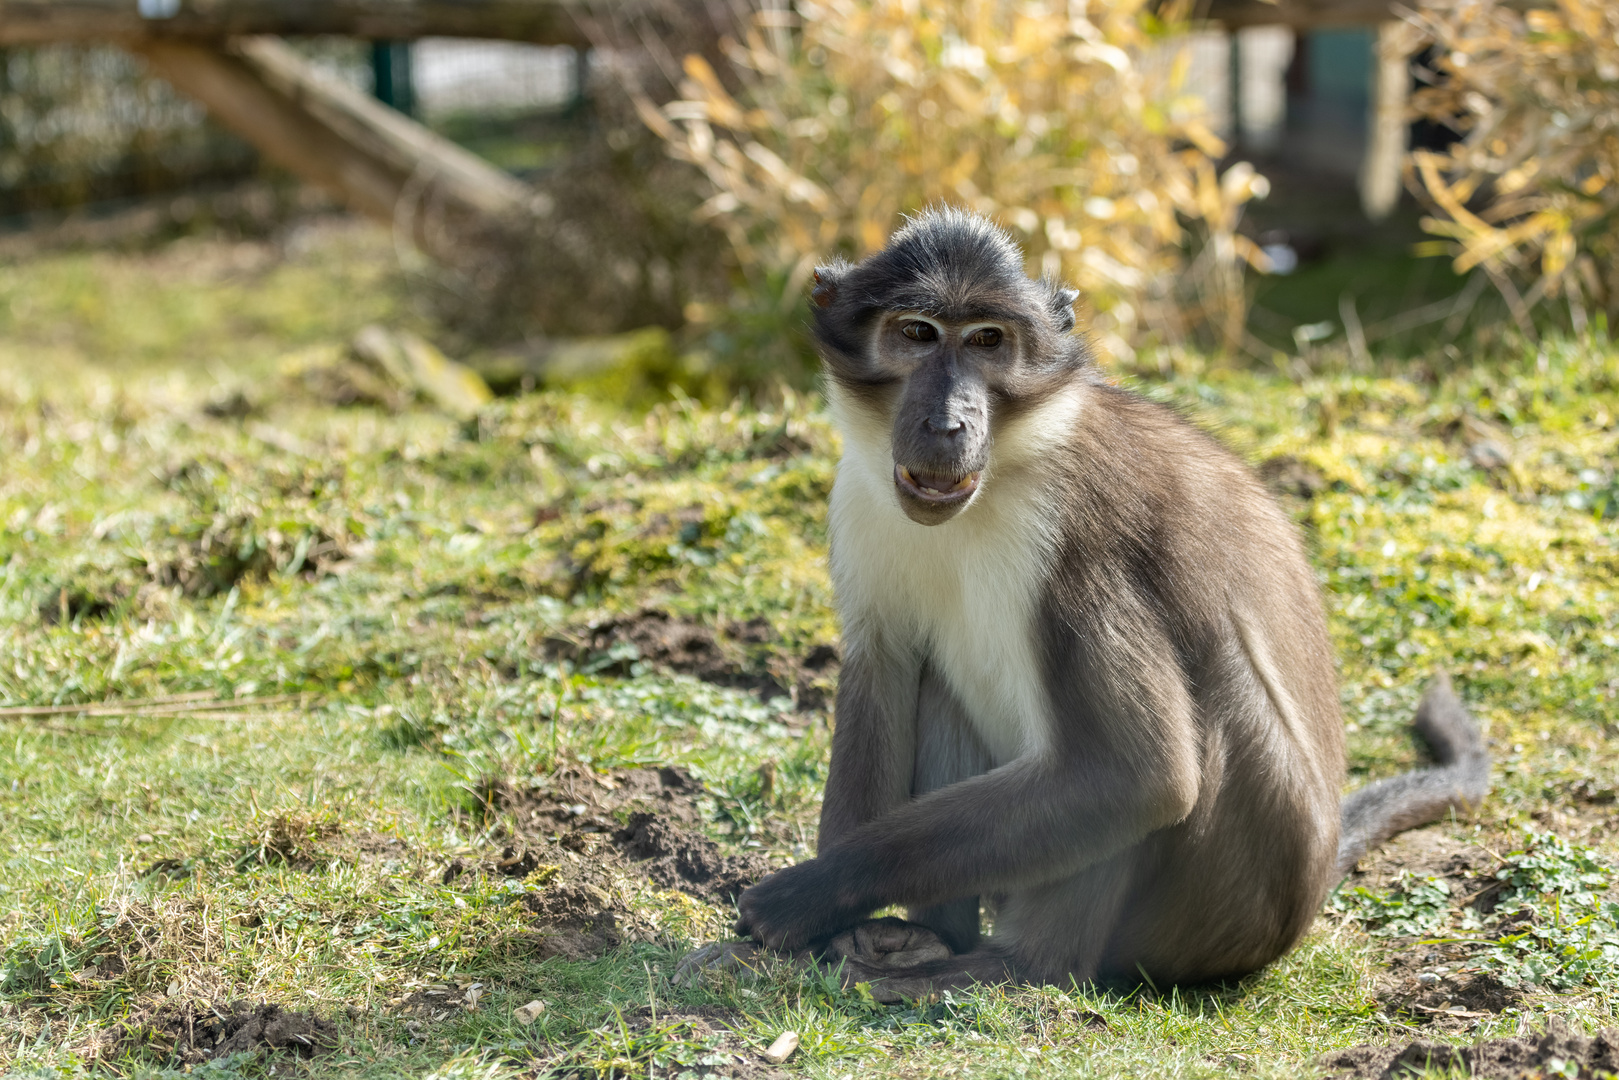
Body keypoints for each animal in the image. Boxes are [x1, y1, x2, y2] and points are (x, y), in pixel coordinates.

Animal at [722, 207, 1489, 1003]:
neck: (1004, 470)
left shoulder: (1082, 535)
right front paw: (828, 929)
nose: (946, 423)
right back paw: (937, 940)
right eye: (916, 333)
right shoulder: (863, 502)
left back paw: (1015, 965)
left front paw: (802, 897)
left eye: (988, 341)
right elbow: (885, 669)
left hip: (1212, 900)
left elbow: (1138, 775)